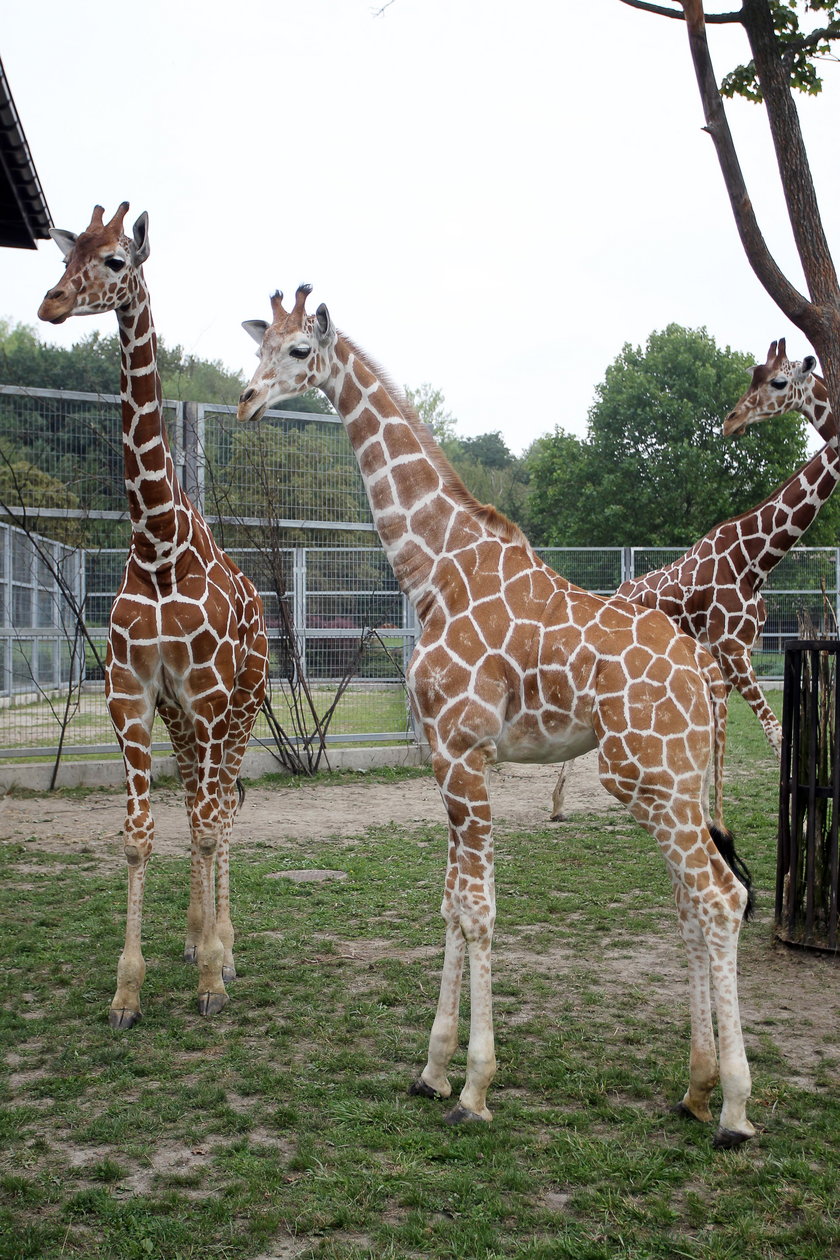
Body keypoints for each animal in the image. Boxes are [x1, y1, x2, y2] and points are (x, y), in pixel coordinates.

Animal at [37, 206, 268, 1028]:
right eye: (63, 253)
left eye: (114, 260)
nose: (50, 303)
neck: (159, 544)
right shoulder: (133, 699)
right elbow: (139, 836)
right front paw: (127, 991)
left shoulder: (208, 698)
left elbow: (205, 825)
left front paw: (209, 981)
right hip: (182, 722)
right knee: (204, 807)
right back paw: (199, 937)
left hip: (241, 709)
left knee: (223, 813)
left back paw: (224, 950)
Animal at [239, 288, 760, 1154]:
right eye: (258, 346)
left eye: (299, 352)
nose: (247, 399)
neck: (433, 568)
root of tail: (704, 669)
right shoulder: (447, 758)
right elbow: (452, 903)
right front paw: (431, 1070)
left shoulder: (462, 750)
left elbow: (479, 910)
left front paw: (475, 1088)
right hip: (675, 782)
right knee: (694, 906)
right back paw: (694, 1089)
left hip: (646, 776)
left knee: (719, 898)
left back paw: (735, 1112)